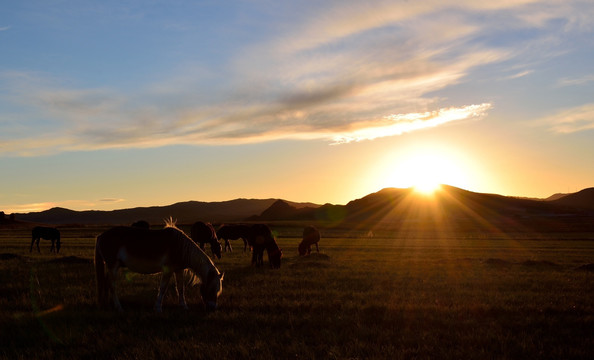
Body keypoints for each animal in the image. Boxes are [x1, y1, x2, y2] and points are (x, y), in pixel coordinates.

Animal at [95, 219, 224, 312]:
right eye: (212, 288)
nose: (212, 308)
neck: (180, 247)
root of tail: (101, 236)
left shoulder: (179, 270)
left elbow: (180, 288)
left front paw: (184, 306)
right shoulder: (168, 270)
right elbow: (163, 288)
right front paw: (157, 308)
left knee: (106, 283)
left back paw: (106, 305)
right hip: (113, 266)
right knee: (112, 285)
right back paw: (119, 308)